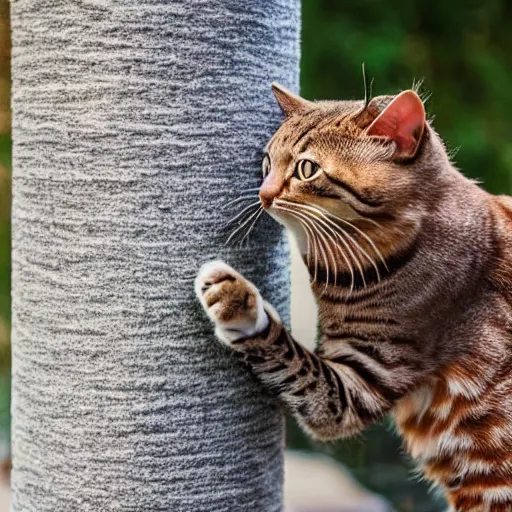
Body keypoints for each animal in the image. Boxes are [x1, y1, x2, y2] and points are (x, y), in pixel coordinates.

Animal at [193, 82, 512, 510]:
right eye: (267, 162)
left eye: (306, 168)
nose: (263, 193)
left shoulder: (362, 384)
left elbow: (291, 360)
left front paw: (237, 302)